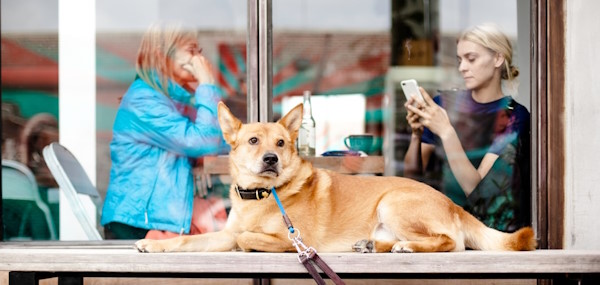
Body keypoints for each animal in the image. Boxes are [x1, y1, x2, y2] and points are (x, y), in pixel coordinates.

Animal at [134, 102, 536, 253]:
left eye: (281, 143)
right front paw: (155, 245)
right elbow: (190, 240)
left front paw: (248, 241)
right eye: (253, 140)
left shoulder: (293, 239)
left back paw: (407, 247)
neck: (262, 196)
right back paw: (373, 246)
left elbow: (246, 237)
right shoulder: (222, 232)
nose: (271, 158)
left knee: (452, 242)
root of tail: (453, 204)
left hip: (393, 202)